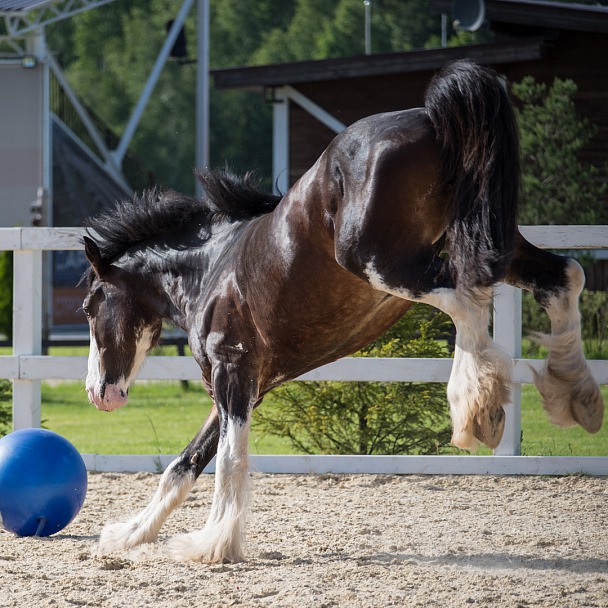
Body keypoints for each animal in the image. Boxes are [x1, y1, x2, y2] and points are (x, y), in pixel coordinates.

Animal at [81, 60, 604, 560]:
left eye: (88, 306)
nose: (97, 393)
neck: (212, 268)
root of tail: (433, 119)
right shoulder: (245, 386)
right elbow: (184, 463)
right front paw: (128, 536)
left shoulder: (232, 374)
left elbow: (228, 460)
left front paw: (211, 545)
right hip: (491, 239)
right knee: (565, 277)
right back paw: (575, 396)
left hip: (380, 260)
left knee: (468, 299)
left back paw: (477, 408)